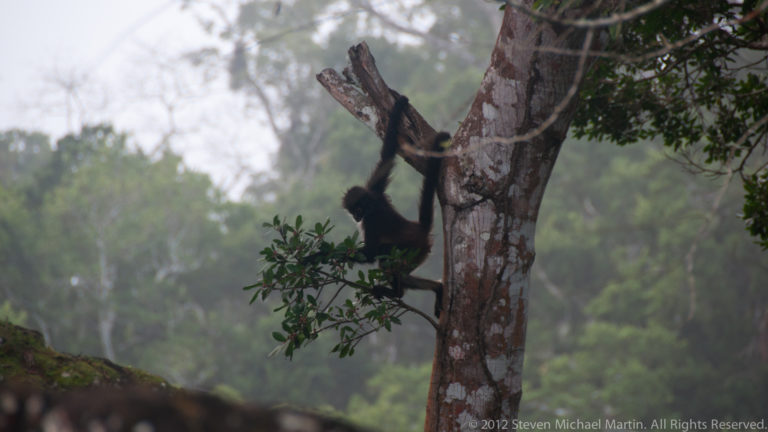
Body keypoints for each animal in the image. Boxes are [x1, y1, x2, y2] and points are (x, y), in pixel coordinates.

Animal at [342, 95, 448, 317]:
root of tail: (420, 229)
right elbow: (387, 155)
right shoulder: (374, 188)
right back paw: (437, 288)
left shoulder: (371, 219)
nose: (356, 217)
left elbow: (370, 253)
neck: (372, 203)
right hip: (418, 254)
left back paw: (396, 293)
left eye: (358, 210)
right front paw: (399, 106)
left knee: (386, 253)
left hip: (412, 249)